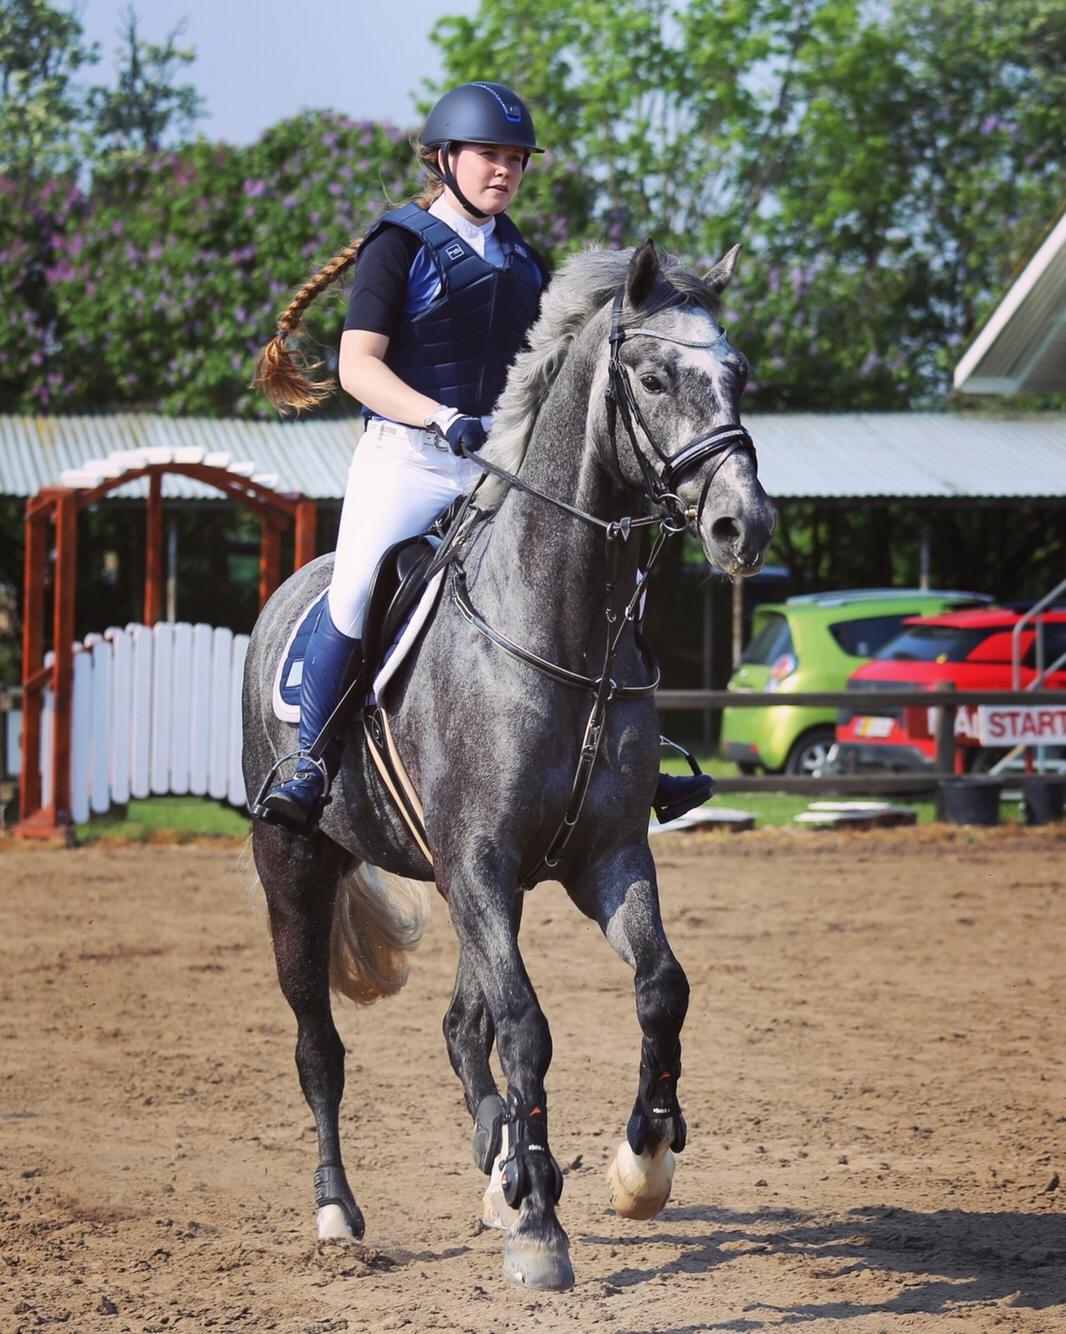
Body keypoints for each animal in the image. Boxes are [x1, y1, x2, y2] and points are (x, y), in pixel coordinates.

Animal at [241, 240, 773, 1291]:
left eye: (737, 376)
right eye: (655, 378)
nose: (745, 526)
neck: (559, 625)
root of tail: (290, 592)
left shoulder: (604, 858)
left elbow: (662, 987)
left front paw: (640, 1163)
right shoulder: (477, 863)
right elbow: (528, 1026)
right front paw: (540, 1229)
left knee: (462, 1024)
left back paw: (502, 1164)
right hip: (297, 866)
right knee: (320, 1045)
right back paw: (340, 1211)